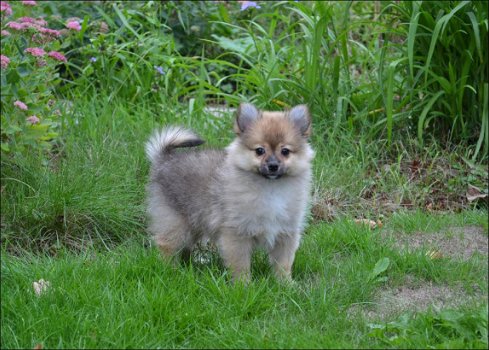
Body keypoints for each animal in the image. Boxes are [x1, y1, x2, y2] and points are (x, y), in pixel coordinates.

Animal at [145, 102, 314, 282]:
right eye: (260, 150)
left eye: (285, 151)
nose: (273, 166)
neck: (271, 189)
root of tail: (164, 159)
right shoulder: (236, 234)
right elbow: (241, 265)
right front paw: (243, 285)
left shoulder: (286, 233)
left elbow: (283, 264)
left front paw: (285, 284)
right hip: (175, 221)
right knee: (167, 244)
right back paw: (171, 271)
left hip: (193, 223)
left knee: (185, 246)